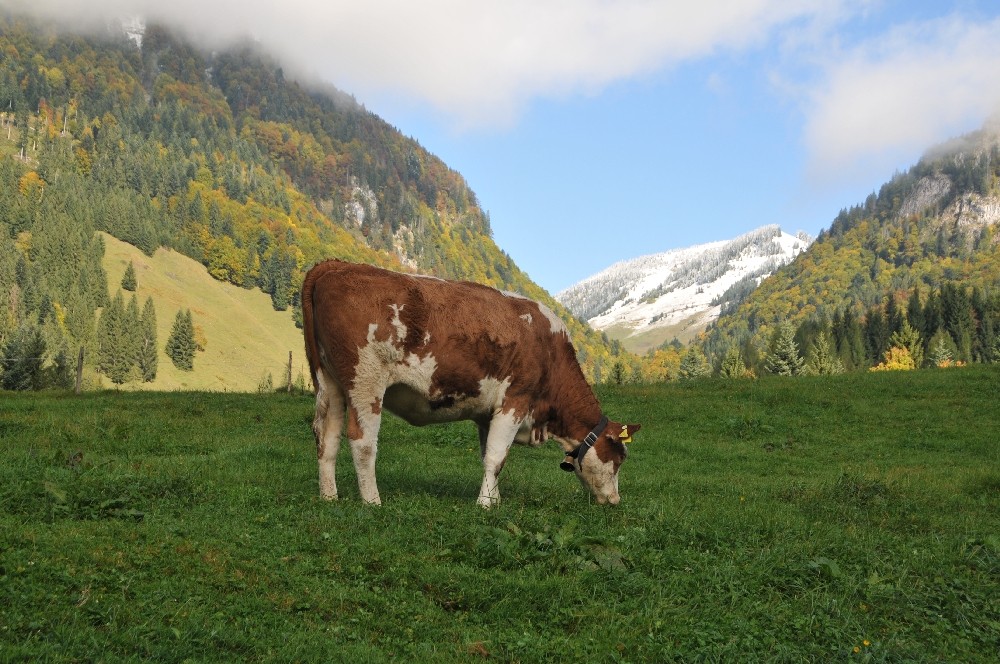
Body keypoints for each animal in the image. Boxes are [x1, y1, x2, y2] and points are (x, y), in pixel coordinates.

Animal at [300, 260, 640, 508]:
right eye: (620, 458)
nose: (615, 500)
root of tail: (335, 265)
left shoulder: (487, 414)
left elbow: (489, 455)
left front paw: (494, 498)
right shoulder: (516, 399)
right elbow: (497, 457)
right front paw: (485, 505)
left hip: (329, 382)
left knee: (326, 437)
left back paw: (329, 497)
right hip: (365, 380)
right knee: (362, 441)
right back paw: (372, 502)